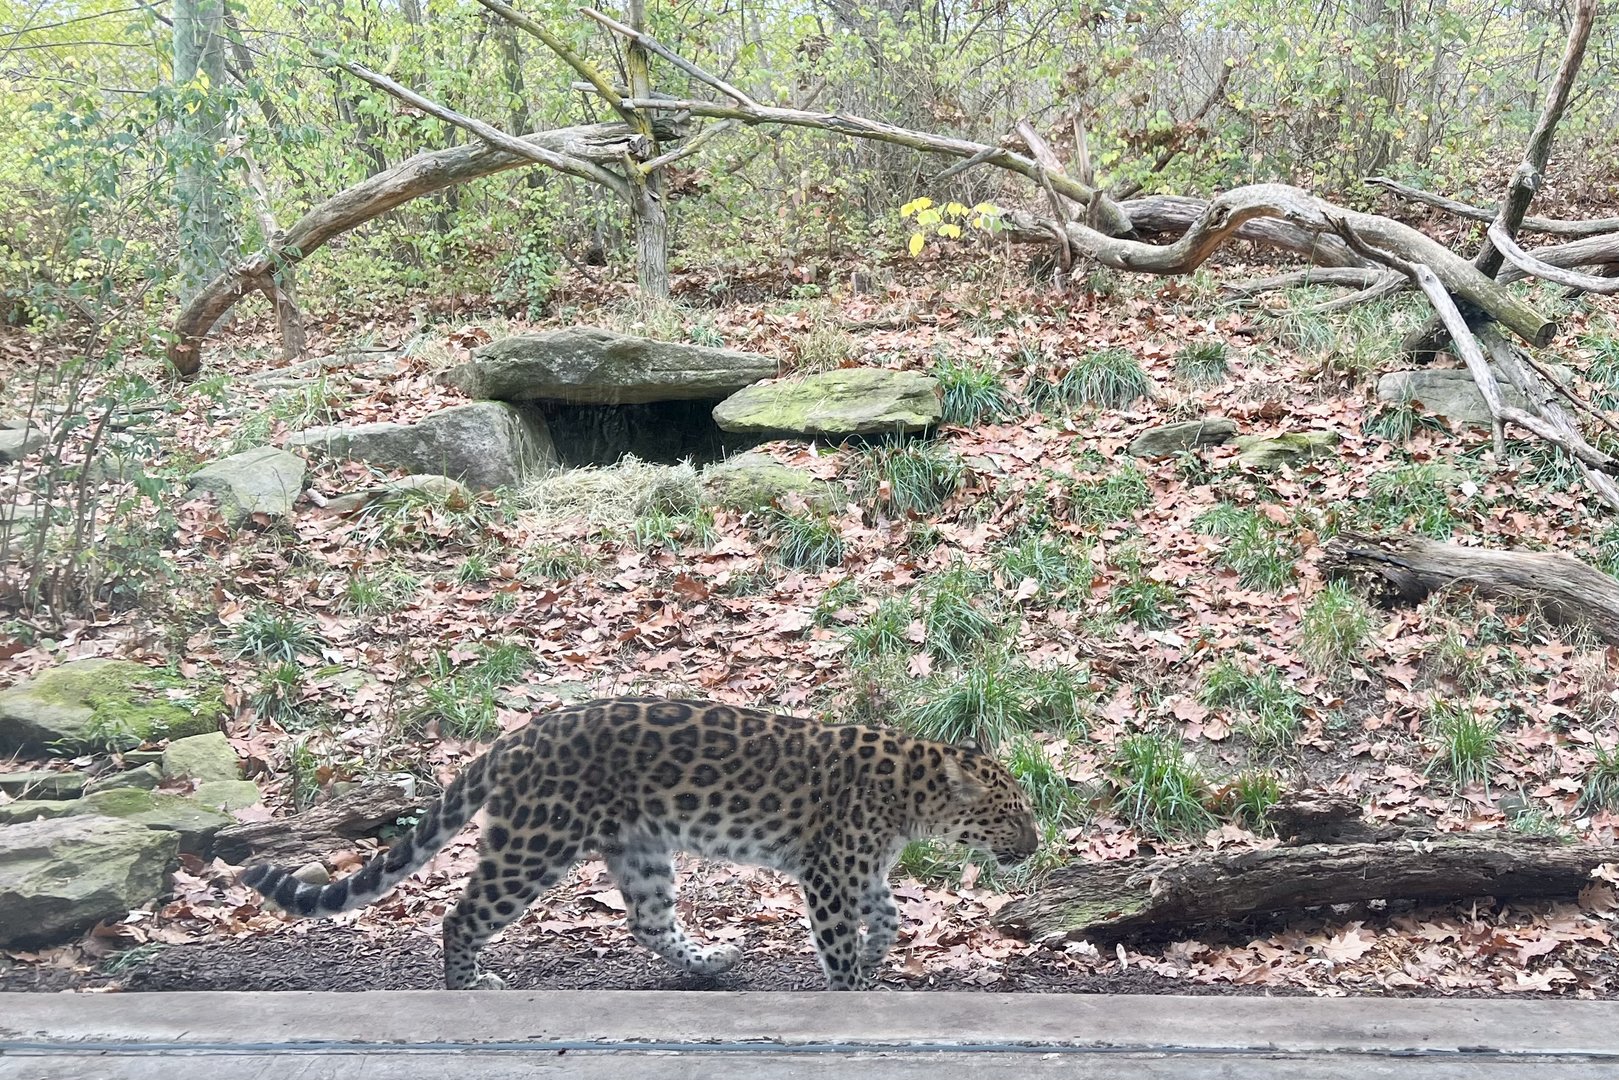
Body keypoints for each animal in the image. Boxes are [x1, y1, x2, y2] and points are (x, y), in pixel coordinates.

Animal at [241, 696, 1039, 990]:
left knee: (648, 922)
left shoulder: (857, 869)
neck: (912, 795)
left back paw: (713, 961)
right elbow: (841, 937)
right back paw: (469, 984)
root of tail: (516, 738)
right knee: (461, 914)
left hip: (643, 848)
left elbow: (891, 915)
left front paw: (876, 957)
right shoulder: (831, 871)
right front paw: (851, 987)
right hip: (534, 842)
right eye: (1010, 814)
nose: (1033, 846)